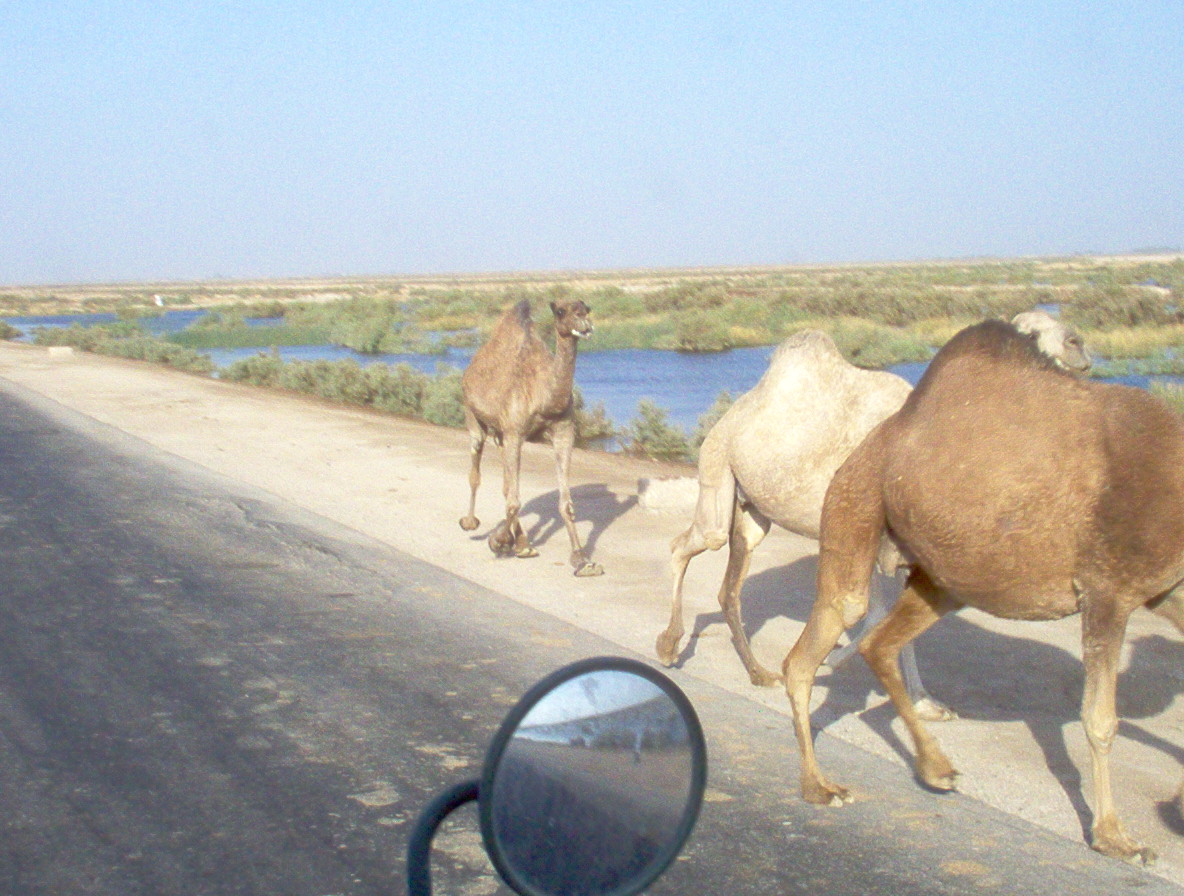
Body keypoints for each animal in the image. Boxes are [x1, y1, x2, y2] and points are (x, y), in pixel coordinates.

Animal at [452, 297, 601, 577]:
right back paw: (471, 523)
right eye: (561, 311)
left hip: (501, 434)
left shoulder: (563, 433)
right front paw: (497, 541)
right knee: (476, 470)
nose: (584, 322)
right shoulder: (514, 432)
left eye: (586, 308)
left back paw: (522, 544)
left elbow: (565, 504)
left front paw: (583, 561)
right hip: (473, 415)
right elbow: (513, 500)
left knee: (506, 484)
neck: (544, 397)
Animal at [658, 314, 1089, 719]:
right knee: (688, 544)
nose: (1078, 344)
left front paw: (924, 703)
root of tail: (731, 414)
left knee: (730, 586)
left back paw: (758, 673)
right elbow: (874, 611)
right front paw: (833, 660)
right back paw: (669, 647)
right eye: (1029, 333)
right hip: (717, 465)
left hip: (754, 510)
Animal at [786, 317, 1184, 861]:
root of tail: (874, 442)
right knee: (817, 644)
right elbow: (1100, 719)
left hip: (943, 578)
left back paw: (934, 768)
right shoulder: (1107, 591)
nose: (1078, 345)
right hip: (853, 503)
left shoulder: (1169, 589)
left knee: (878, 643)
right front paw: (1115, 837)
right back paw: (821, 787)